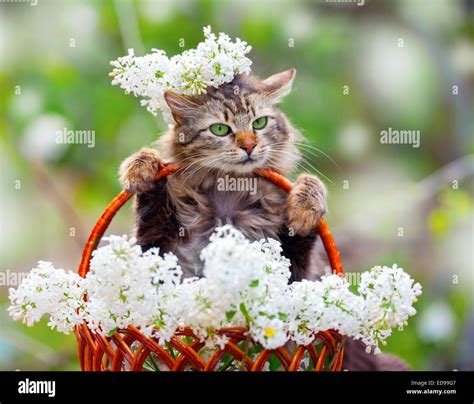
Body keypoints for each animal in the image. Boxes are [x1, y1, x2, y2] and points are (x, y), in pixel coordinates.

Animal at [117, 68, 408, 370]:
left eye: (259, 123)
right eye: (219, 129)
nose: (249, 146)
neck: (228, 199)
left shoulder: (297, 270)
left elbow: (310, 188)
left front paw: (304, 208)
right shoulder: (159, 247)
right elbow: (151, 189)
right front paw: (140, 169)